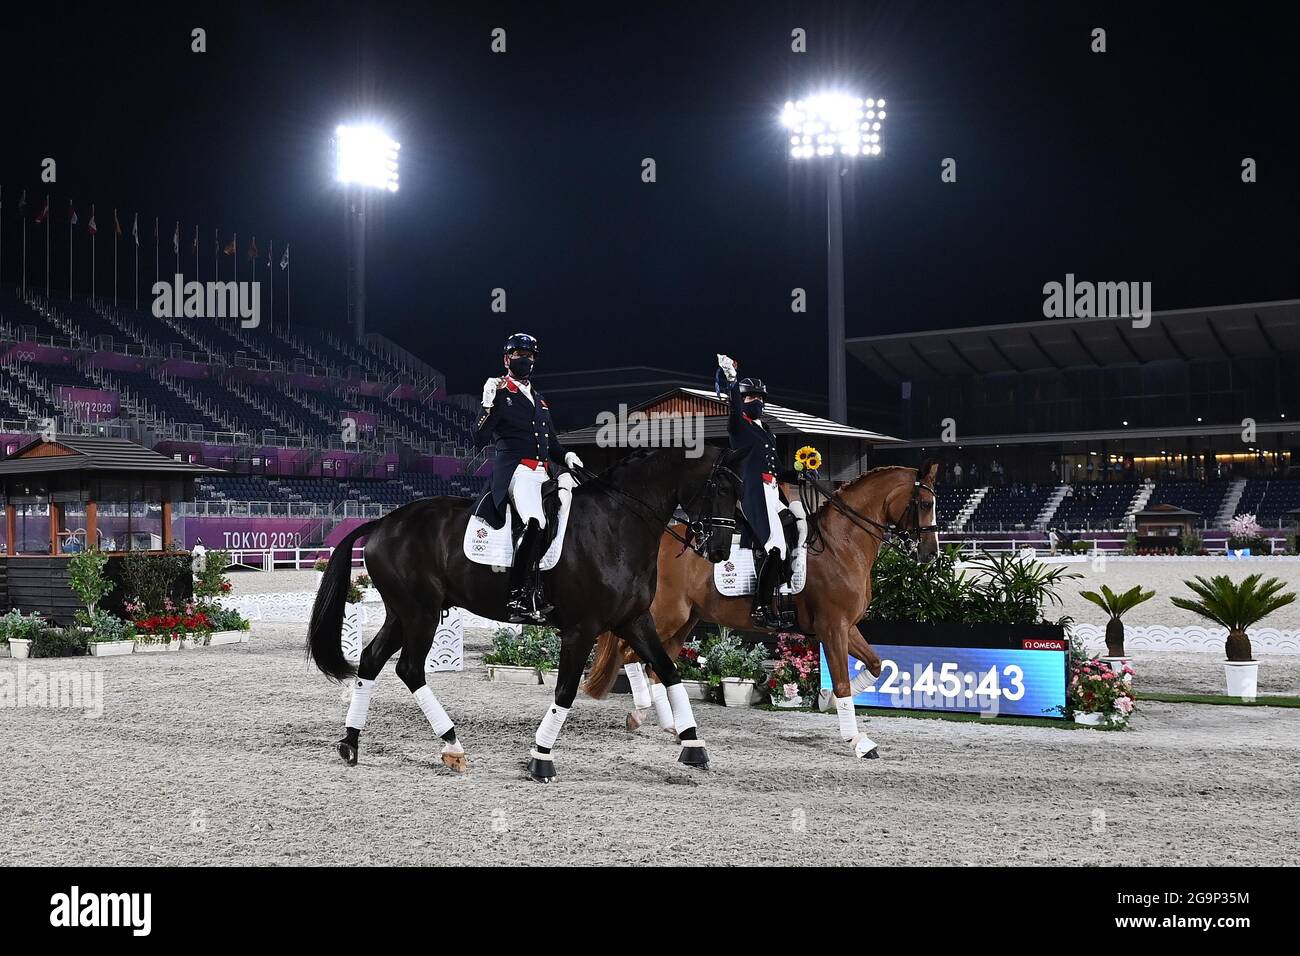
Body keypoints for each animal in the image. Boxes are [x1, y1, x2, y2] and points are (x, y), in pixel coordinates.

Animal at [305, 444, 748, 780]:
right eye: (718, 488)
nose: (719, 551)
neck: (615, 526)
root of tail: (384, 522)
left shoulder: (634, 620)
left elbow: (669, 671)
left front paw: (693, 746)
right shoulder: (581, 629)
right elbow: (565, 691)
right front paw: (541, 758)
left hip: (402, 613)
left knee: (371, 661)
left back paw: (350, 743)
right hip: (421, 613)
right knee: (409, 669)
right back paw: (452, 745)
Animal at [585, 460, 941, 759]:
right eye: (925, 504)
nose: (930, 554)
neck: (842, 544)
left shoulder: (847, 627)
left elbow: (876, 665)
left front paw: (827, 701)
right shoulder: (833, 628)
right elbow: (842, 682)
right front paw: (858, 741)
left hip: (684, 622)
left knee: (654, 665)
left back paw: (672, 727)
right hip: (666, 617)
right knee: (631, 656)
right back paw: (642, 715)